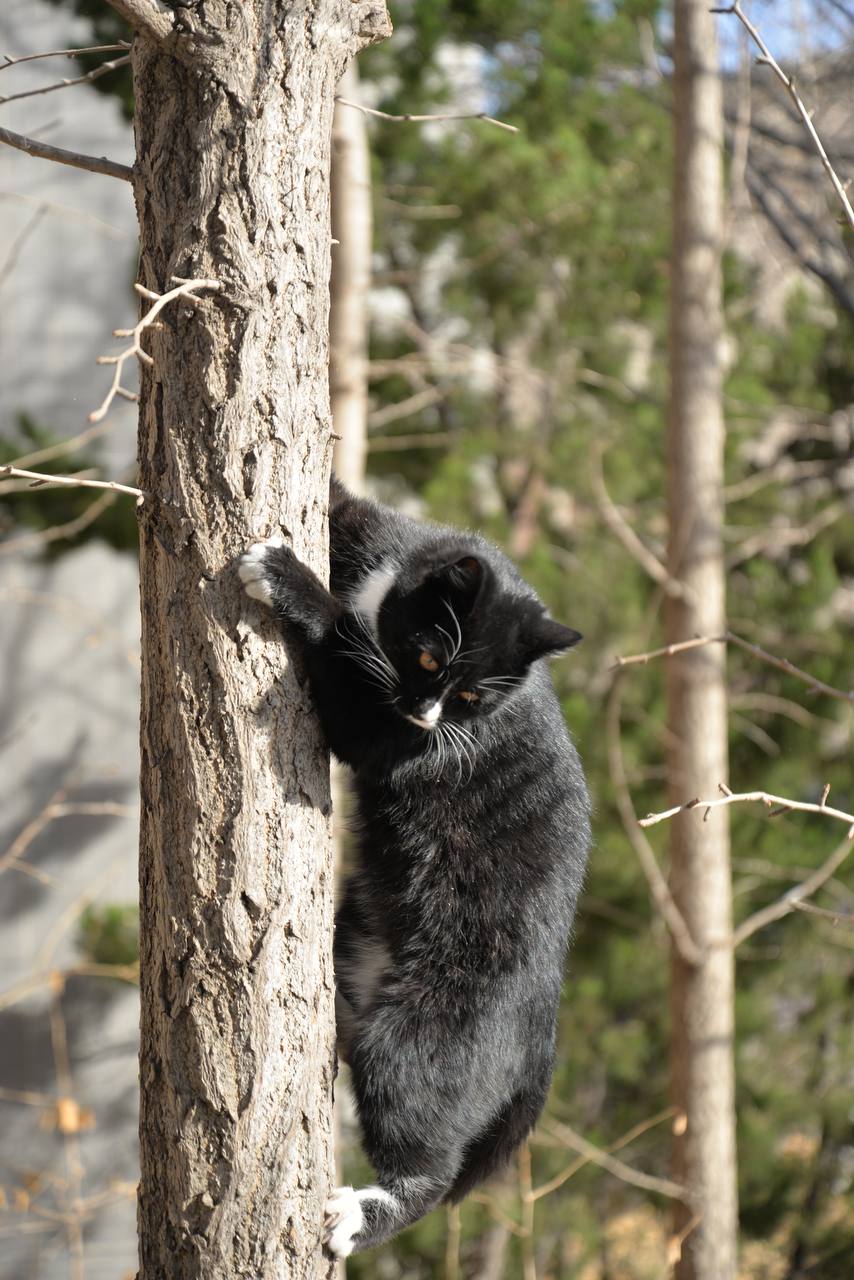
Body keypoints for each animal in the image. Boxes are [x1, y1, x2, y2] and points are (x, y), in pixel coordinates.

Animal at [236, 478, 591, 1249]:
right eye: (432, 661)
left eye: (472, 697)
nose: (428, 718)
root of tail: (544, 1029)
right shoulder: (376, 535)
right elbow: (345, 513)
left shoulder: (385, 732)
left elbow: (341, 649)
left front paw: (287, 577)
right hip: (356, 942)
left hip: (427, 1035)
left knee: (429, 1159)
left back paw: (358, 1216)